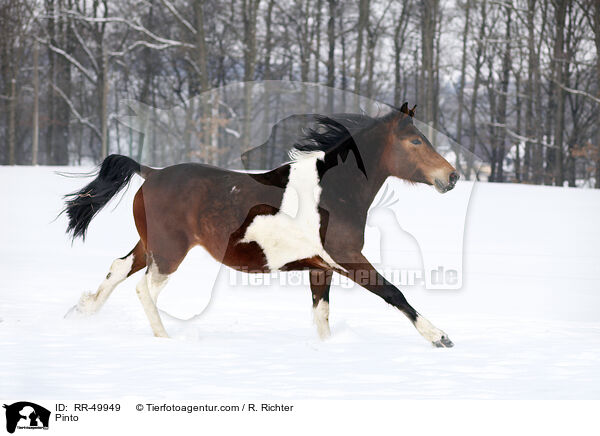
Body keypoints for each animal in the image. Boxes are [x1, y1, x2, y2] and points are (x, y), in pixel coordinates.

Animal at [64, 103, 460, 348]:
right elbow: (393, 293)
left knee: (118, 268)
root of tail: (152, 172)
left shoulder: (320, 267)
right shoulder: (346, 257)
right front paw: (440, 337)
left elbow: (322, 313)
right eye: (415, 140)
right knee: (145, 289)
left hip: (151, 245)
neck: (333, 191)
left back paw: (81, 312)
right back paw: (164, 339)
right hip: (169, 252)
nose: (452, 176)